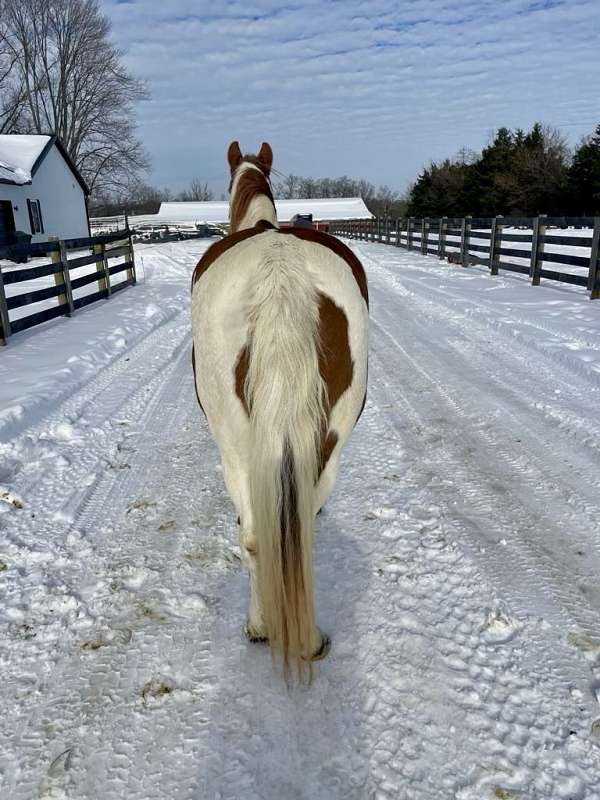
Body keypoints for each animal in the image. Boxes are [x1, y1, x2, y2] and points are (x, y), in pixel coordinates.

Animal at [190, 142, 368, 676]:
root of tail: (280, 273)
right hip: (329, 444)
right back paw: (304, 638)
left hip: (235, 450)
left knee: (255, 537)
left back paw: (261, 626)